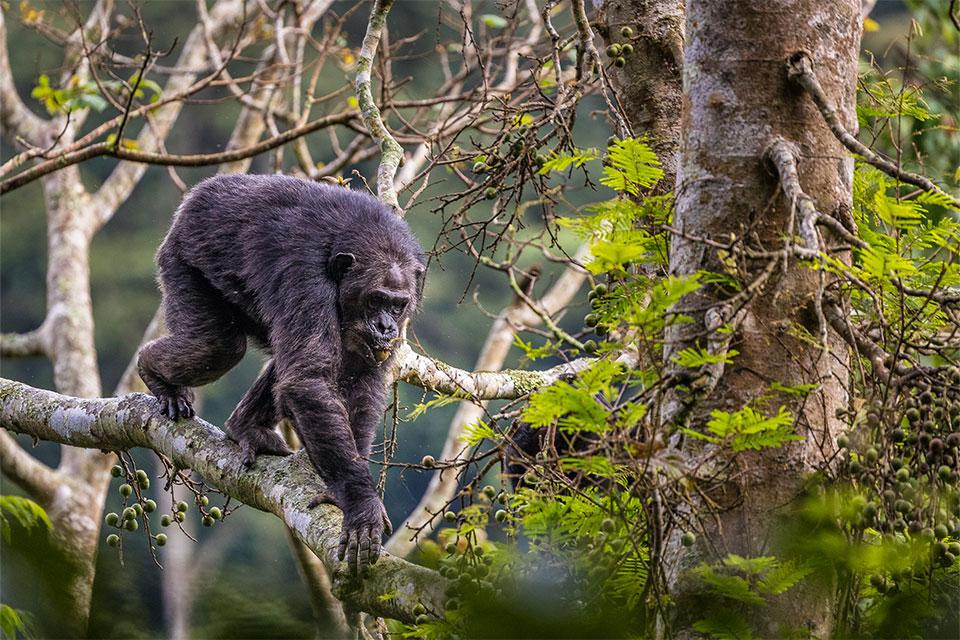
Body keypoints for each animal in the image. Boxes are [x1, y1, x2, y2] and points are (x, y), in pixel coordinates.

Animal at [137, 173, 425, 576]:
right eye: (376, 300)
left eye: (398, 305)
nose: (386, 326)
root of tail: (198, 194)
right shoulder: (305, 279)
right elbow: (308, 380)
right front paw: (359, 501)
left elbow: (358, 384)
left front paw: (341, 488)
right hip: (181, 262)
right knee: (217, 346)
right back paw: (158, 377)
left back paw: (246, 427)